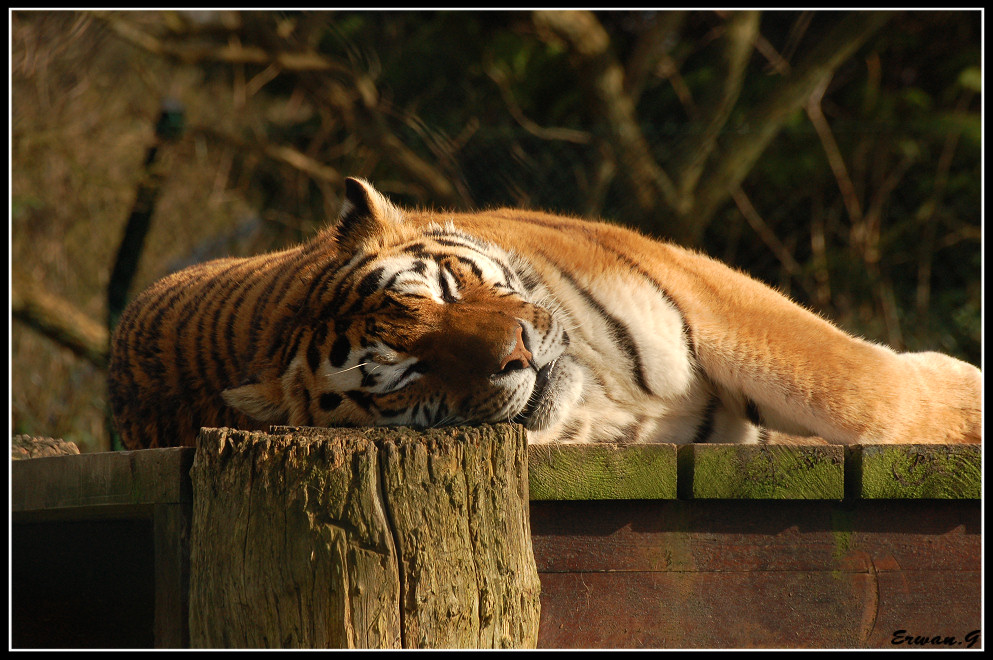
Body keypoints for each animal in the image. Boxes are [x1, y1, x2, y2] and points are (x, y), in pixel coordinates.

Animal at [108, 177, 981, 449]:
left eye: (448, 289)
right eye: (405, 375)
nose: (518, 356)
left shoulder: (698, 290)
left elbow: (858, 391)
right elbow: (866, 399)